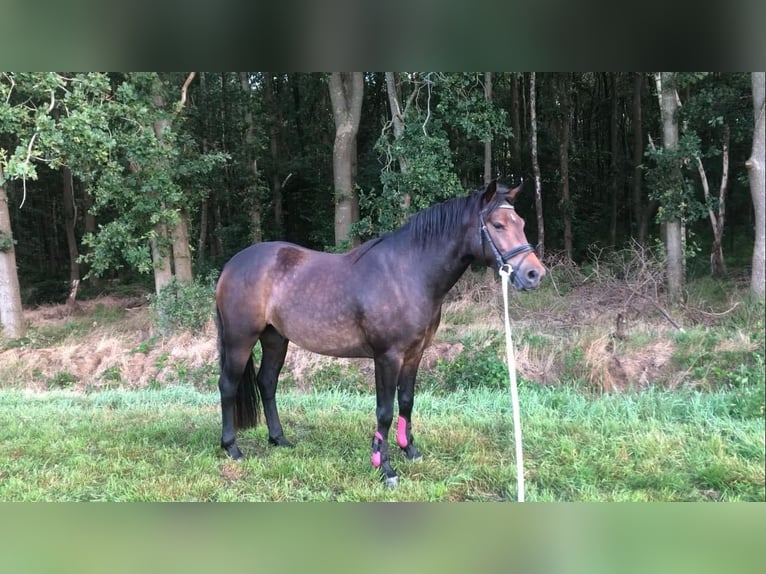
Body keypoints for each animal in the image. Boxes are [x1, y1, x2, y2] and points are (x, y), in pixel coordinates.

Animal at [213, 179, 544, 486]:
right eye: (498, 225)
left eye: (521, 223)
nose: (534, 274)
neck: (408, 274)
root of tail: (231, 266)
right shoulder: (387, 356)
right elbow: (384, 410)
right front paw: (384, 467)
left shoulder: (414, 353)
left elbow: (407, 401)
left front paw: (410, 450)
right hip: (240, 340)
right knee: (228, 385)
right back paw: (232, 448)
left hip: (275, 338)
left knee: (267, 383)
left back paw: (279, 439)